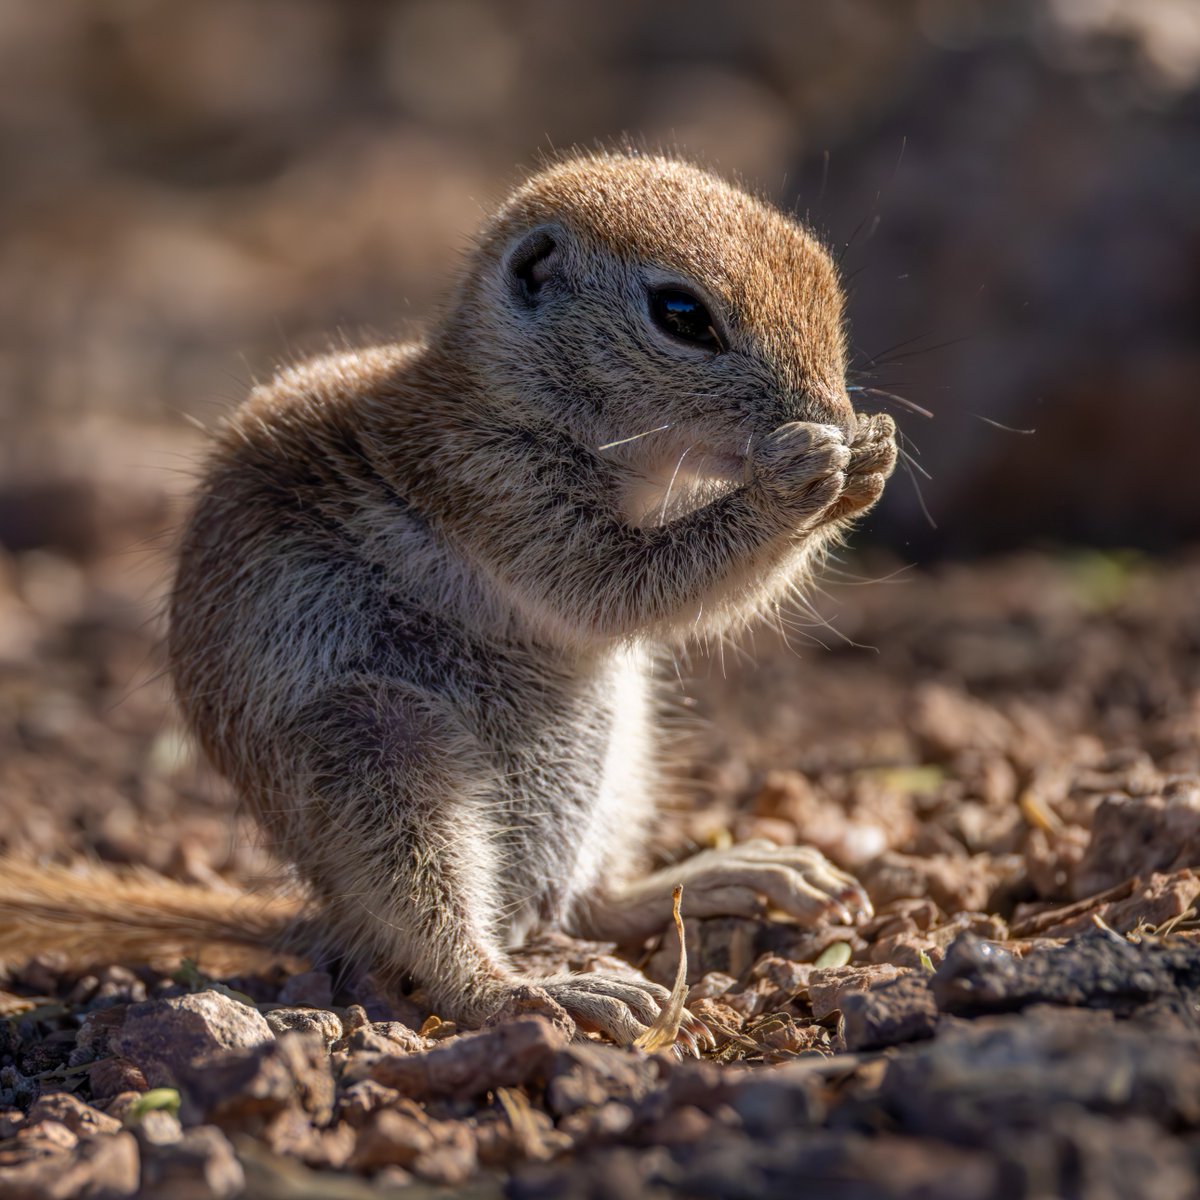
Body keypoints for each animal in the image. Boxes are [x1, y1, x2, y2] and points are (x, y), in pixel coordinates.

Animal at [0, 152, 896, 1048]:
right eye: (682, 316)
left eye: (827, 282)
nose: (831, 412)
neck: (510, 397)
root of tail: (331, 919)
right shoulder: (490, 484)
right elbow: (620, 586)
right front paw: (798, 482)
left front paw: (870, 453)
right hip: (381, 748)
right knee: (442, 948)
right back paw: (540, 991)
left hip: (622, 742)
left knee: (596, 904)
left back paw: (732, 874)